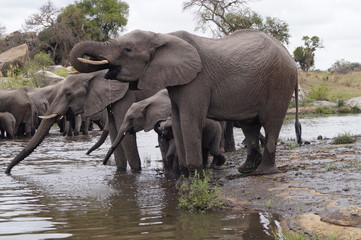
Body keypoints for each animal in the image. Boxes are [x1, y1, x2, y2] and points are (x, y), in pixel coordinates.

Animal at [4, 70, 160, 173]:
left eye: (68, 94)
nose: (7, 171)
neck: (96, 74)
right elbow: (115, 132)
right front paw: (120, 171)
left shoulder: (126, 96)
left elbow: (125, 133)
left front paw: (135, 173)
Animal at [68, 28, 300, 180]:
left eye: (127, 49)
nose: (102, 164)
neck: (163, 36)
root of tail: (289, 55)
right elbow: (178, 122)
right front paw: (184, 178)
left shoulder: (196, 81)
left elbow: (189, 120)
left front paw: (195, 178)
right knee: (249, 125)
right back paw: (246, 170)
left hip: (279, 82)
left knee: (271, 122)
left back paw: (263, 172)